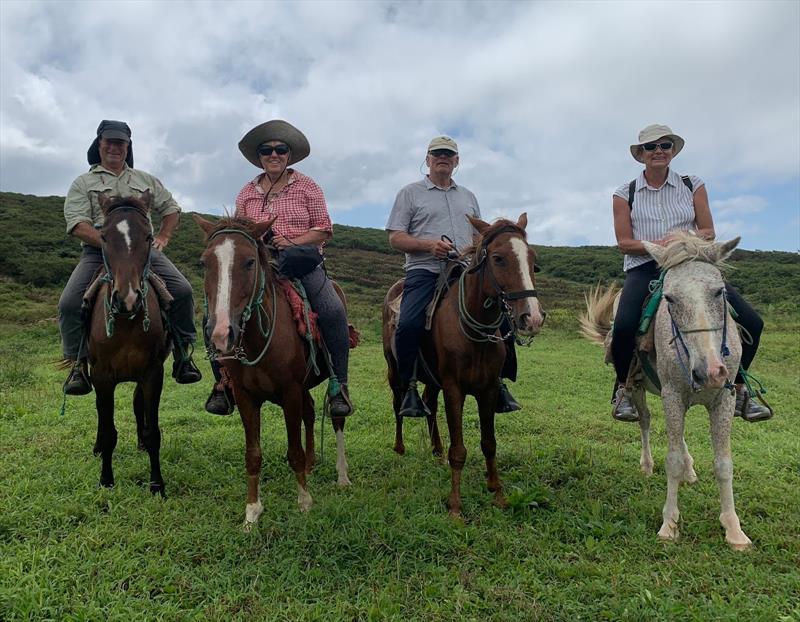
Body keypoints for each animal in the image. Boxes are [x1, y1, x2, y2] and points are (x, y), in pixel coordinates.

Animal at [87, 193, 169, 494]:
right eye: (104, 237)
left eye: (148, 237)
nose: (128, 299)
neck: (126, 321)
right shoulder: (101, 376)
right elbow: (109, 429)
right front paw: (106, 481)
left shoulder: (153, 372)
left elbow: (153, 430)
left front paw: (157, 484)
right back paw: (98, 448)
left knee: (137, 403)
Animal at [194, 216, 350, 532]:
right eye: (204, 263)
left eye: (250, 261)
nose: (221, 333)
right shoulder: (245, 397)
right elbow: (253, 455)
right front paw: (252, 512)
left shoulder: (290, 392)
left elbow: (293, 451)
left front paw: (304, 502)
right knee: (310, 412)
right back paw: (312, 464)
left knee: (336, 418)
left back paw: (342, 476)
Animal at [382, 214, 544, 516]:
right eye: (498, 258)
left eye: (532, 258)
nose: (533, 318)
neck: (473, 333)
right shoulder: (454, 389)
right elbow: (458, 449)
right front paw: (455, 505)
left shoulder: (488, 389)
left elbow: (489, 443)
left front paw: (497, 493)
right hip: (395, 372)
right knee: (399, 403)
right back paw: (399, 447)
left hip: (432, 379)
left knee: (429, 404)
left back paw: (436, 451)